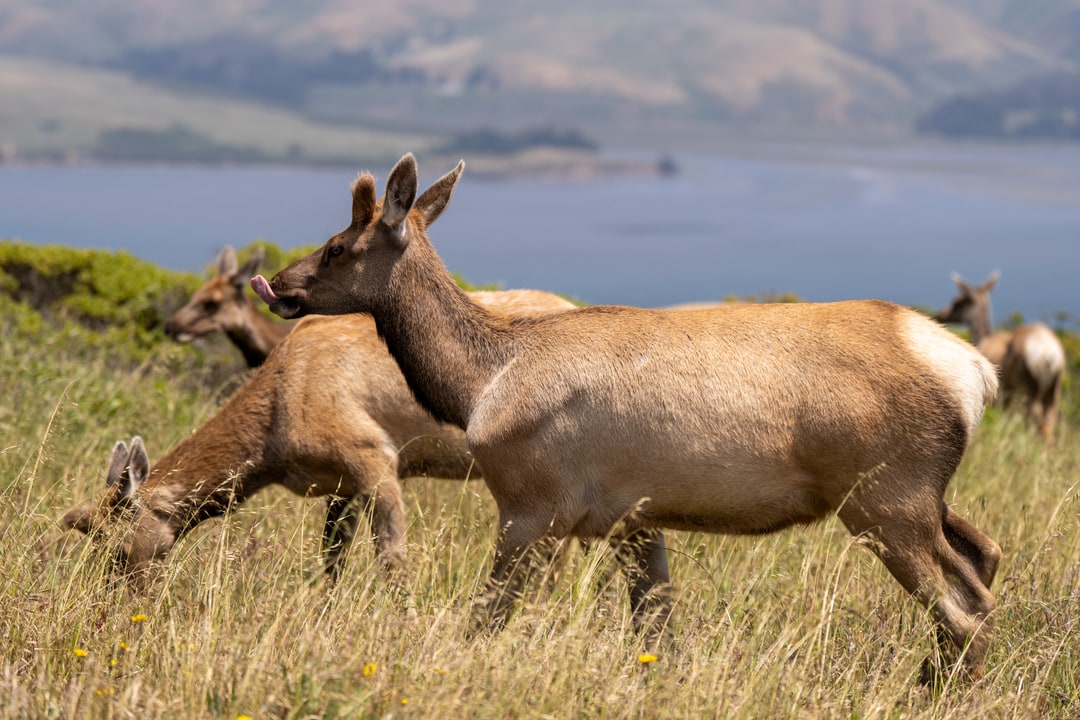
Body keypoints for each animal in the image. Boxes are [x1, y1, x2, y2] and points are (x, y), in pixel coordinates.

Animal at [62, 291, 574, 585]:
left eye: (116, 549)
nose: (111, 598)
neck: (271, 444)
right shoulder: (339, 483)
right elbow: (331, 560)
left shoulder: (373, 455)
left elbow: (392, 559)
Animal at [250, 153, 1002, 681]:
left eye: (337, 246)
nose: (277, 285)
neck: (482, 385)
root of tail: (975, 372)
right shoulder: (633, 518)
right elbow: (655, 631)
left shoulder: (534, 500)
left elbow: (487, 616)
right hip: (914, 493)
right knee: (985, 561)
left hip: (884, 496)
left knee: (967, 611)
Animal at [935, 271, 1066, 441]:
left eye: (958, 301)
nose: (940, 315)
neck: (984, 340)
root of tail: (1048, 354)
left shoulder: (1001, 391)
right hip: (1054, 385)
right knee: (1051, 414)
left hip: (1031, 386)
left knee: (1036, 415)